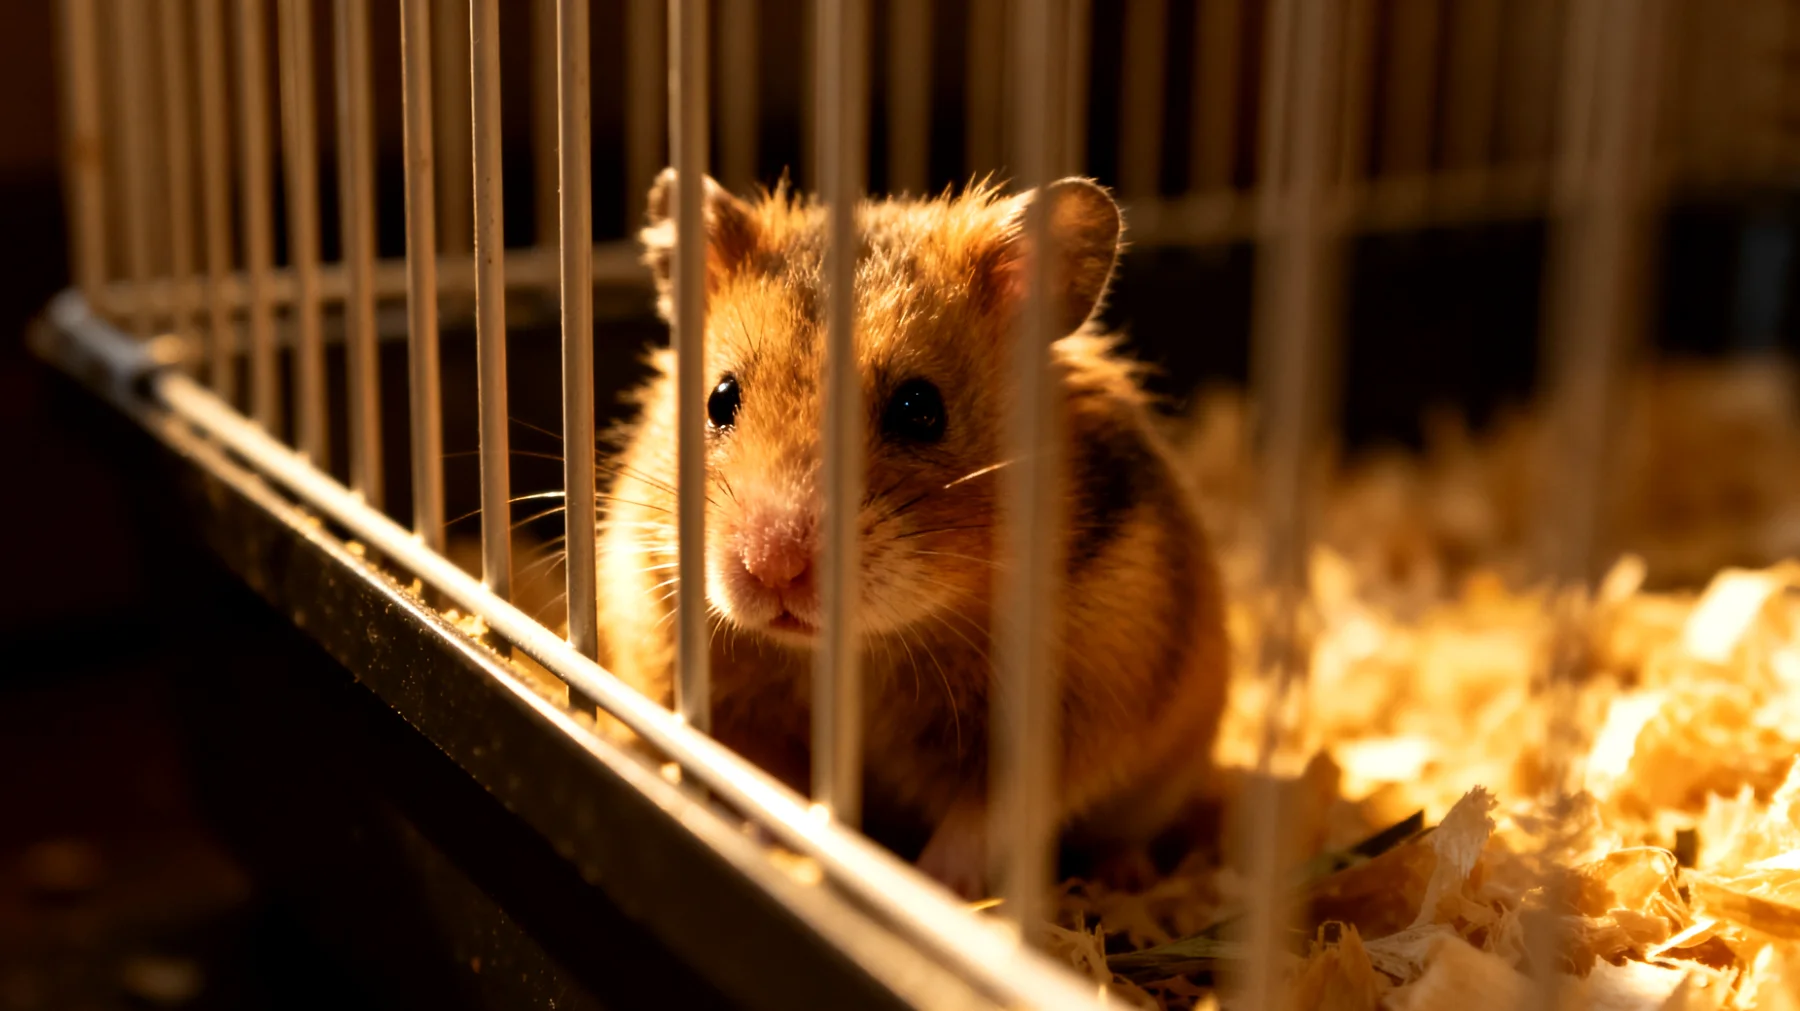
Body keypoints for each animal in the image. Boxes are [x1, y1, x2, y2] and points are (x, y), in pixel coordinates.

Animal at [596, 168, 1231, 899]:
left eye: (920, 408)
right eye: (720, 398)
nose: (773, 567)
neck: (863, 649)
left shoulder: (1070, 711)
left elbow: (980, 822)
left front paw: (930, 885)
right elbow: (758, 781)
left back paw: (1123, 878)